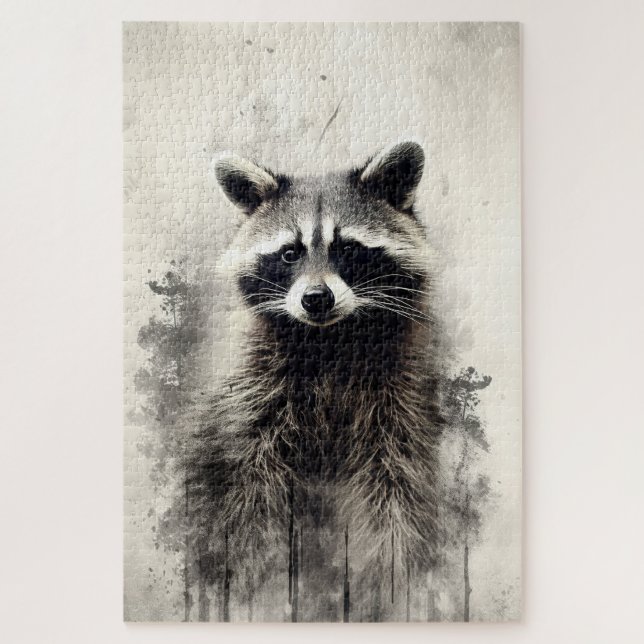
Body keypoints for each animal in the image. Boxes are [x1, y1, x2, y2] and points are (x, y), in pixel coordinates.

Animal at [183, 141, 446, 619]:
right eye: (290, 253)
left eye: (349, 250)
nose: (316, 299)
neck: (328, 340)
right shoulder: (252, 393)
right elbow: (244, 491)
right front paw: (256, 581)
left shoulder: (397, 393)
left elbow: (396, 486)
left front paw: (393, 580)